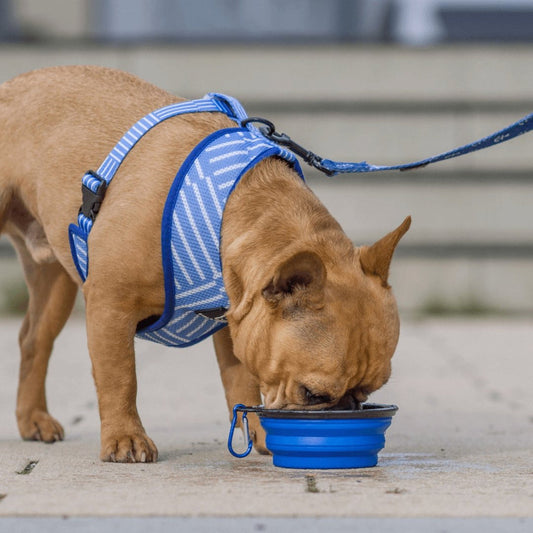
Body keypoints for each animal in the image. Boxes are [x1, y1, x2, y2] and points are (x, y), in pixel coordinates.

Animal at [0, 64, 412, 460]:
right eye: (313, 394)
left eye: (368, 391)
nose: (348, 407)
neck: (230, 213)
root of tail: (11, 85)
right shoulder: (110, 305)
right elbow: (120, 376)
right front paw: (125, 438)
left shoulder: (240, 320)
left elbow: (242, 380)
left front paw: (258, 432)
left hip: (54, 281)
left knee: (34, 339)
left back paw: (33, 420)